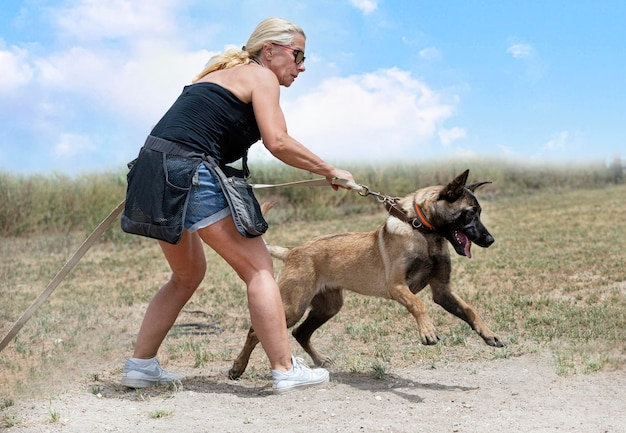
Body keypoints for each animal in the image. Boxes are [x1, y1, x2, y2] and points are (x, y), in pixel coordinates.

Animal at [227, 169, 504, 378]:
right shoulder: (397, 287)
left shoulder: (442, 291)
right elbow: (418, 303)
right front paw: (427, 331)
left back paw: (321, 360)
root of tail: (292, 250)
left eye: (479, 212)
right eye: (470, 213)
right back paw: (237, 368)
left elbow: (470, 310)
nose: (490, 240)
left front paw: (489, 334)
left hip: (329, 306)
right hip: (293, 306)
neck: (422, 231)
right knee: (256, 331)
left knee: (300, 333)